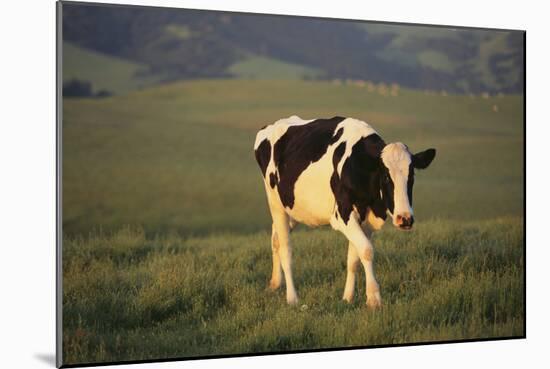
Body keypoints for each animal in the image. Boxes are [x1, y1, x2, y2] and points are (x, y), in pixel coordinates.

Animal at [252, 116, 438, 306]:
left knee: (275, 237)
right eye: (386, 176)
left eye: (412, 176)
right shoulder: (342, 215)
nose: (405, 219)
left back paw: (275, 283)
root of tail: (271, 126)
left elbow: (354, 259)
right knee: (285, 248)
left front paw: (348, 297)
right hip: (275, 203)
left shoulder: (366, 220)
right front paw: (374, 298)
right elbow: (367, 250)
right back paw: (292, 297)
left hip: (292, 209)